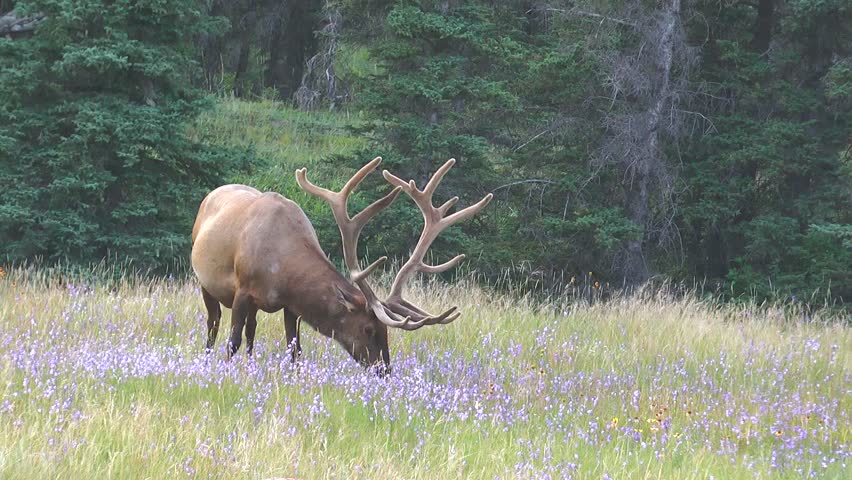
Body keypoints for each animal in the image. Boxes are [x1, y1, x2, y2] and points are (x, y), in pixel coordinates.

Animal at [190, 157, 492, 374]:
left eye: (386, 331)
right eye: (368, 329)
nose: (384, 371)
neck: (281, 270)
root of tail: (211, 194)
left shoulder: (291, 305)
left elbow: (295, 350)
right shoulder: (243, 289)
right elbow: (232, 342)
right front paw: (227, 373)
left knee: (251, 330)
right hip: (206, 283)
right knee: (214, 323)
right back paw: (206, 360)